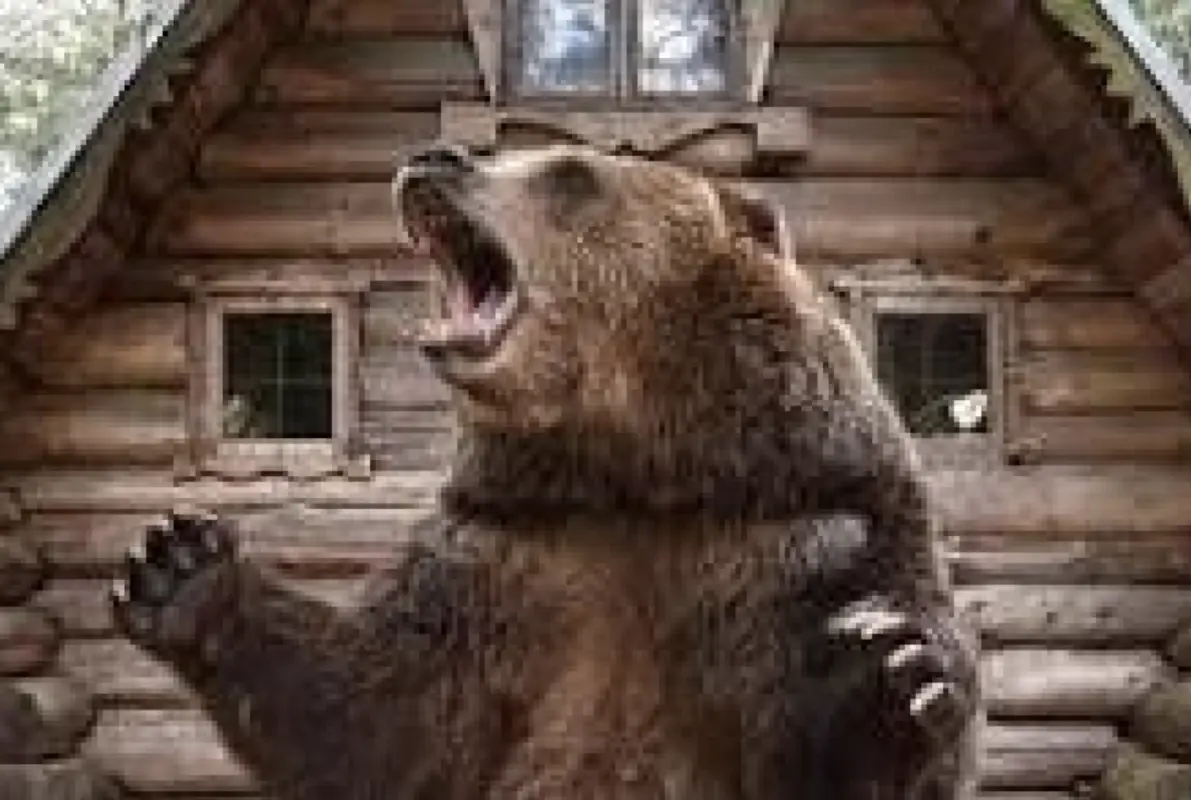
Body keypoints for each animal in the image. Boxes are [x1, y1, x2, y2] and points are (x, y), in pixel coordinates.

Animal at [112, 144, 979, 799]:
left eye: (569, 172)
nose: (435, 159)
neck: (629, 468)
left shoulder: (813, 531)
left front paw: (881, 678)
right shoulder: (501, 555)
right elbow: (380, 716)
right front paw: (180, 566)